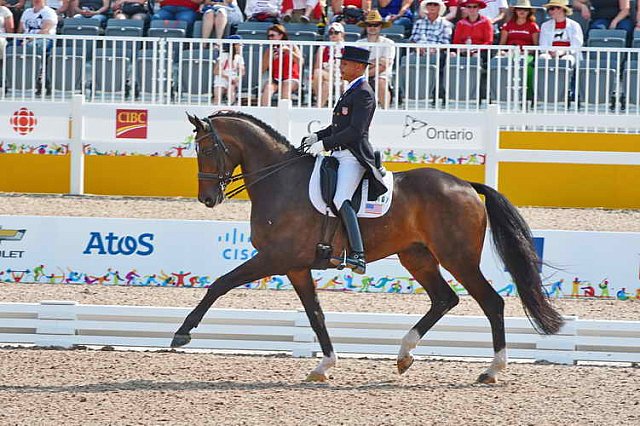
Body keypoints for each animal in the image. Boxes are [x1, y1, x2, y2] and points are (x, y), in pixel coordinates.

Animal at [171, 111, 564, 384]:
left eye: (207, 148)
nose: (208, 199)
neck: (280, 181)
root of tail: (466, 185)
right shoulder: (295, 266)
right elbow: (315, 315)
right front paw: (324, 366)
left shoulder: (274, 257)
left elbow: (220, 284)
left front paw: (182, 333)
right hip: (416, 256)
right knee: (444, 299)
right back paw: (404, 355)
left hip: (457, 257)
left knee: (491, 303)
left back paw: (492, 371)